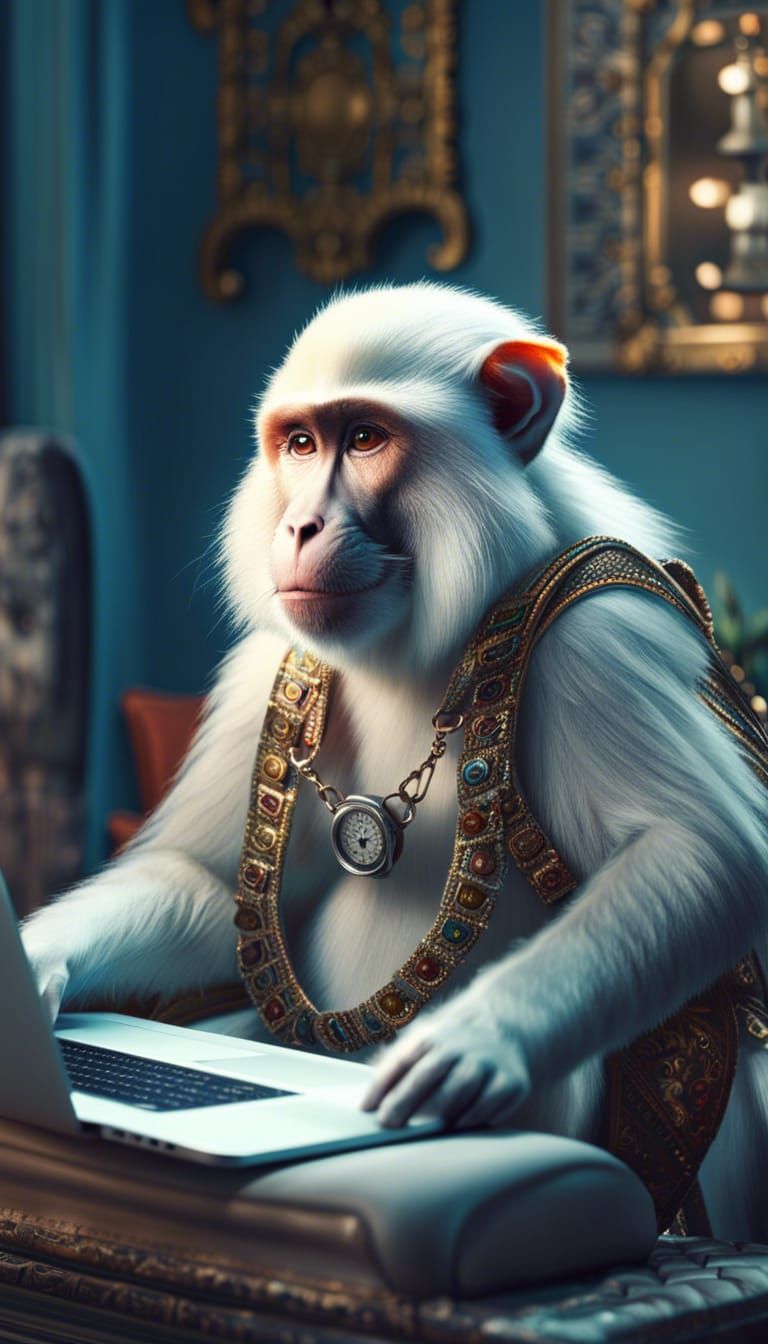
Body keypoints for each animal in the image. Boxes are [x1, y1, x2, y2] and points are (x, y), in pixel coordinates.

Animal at [21, 283, 768, 1242]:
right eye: (301, 445)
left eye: (366, 438)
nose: (299, 523)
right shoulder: (267, 666)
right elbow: (207, 887)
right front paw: (30, 960)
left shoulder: (600, 637)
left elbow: (707, 857)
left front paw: (485, 1035)